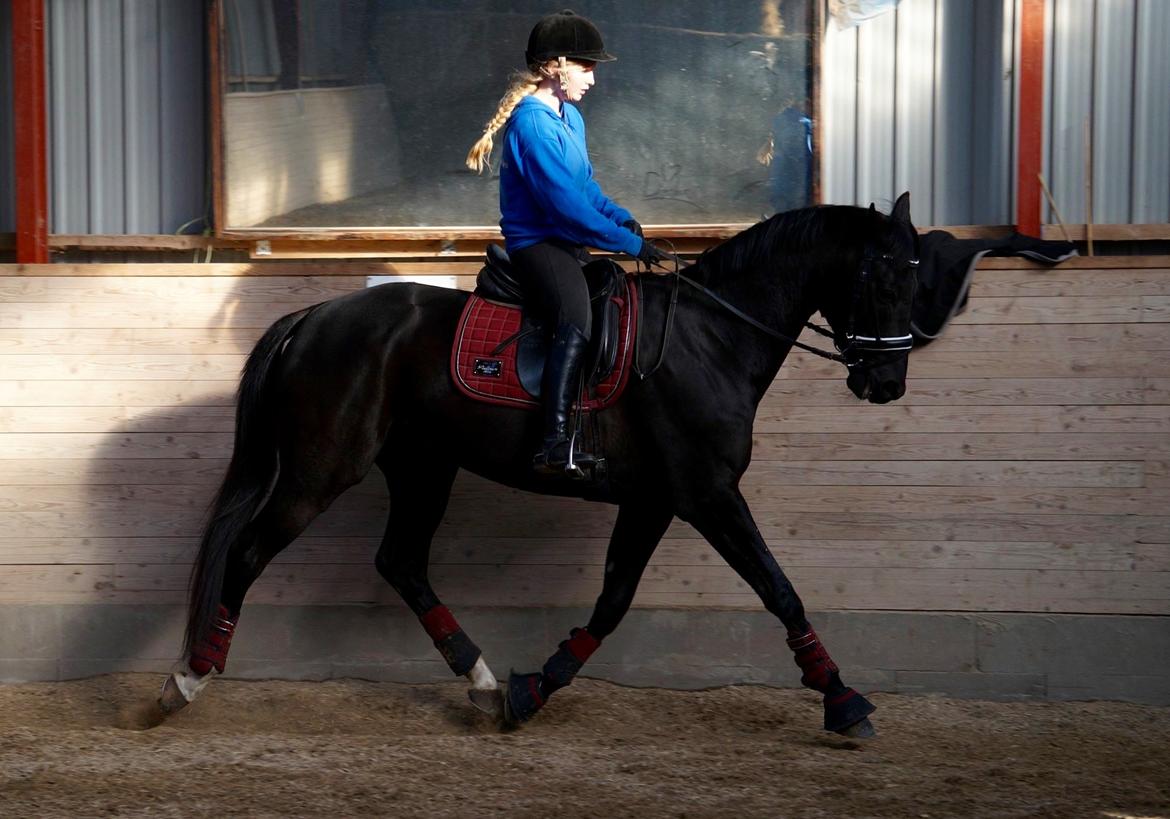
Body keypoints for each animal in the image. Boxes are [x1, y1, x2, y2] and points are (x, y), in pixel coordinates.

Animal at [155, 190, 921, 734]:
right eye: (886, 278)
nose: (886, 383)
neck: (711, 339)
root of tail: (313, 317)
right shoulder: (707, 494)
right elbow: (778, 588)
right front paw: (844, 699)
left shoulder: (654, 499)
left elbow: (613, 601)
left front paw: (534, 689)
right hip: (322, 469)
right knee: (249, 552)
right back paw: (187, 680)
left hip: (423, 468)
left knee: (401, 562)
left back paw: (483, 681)